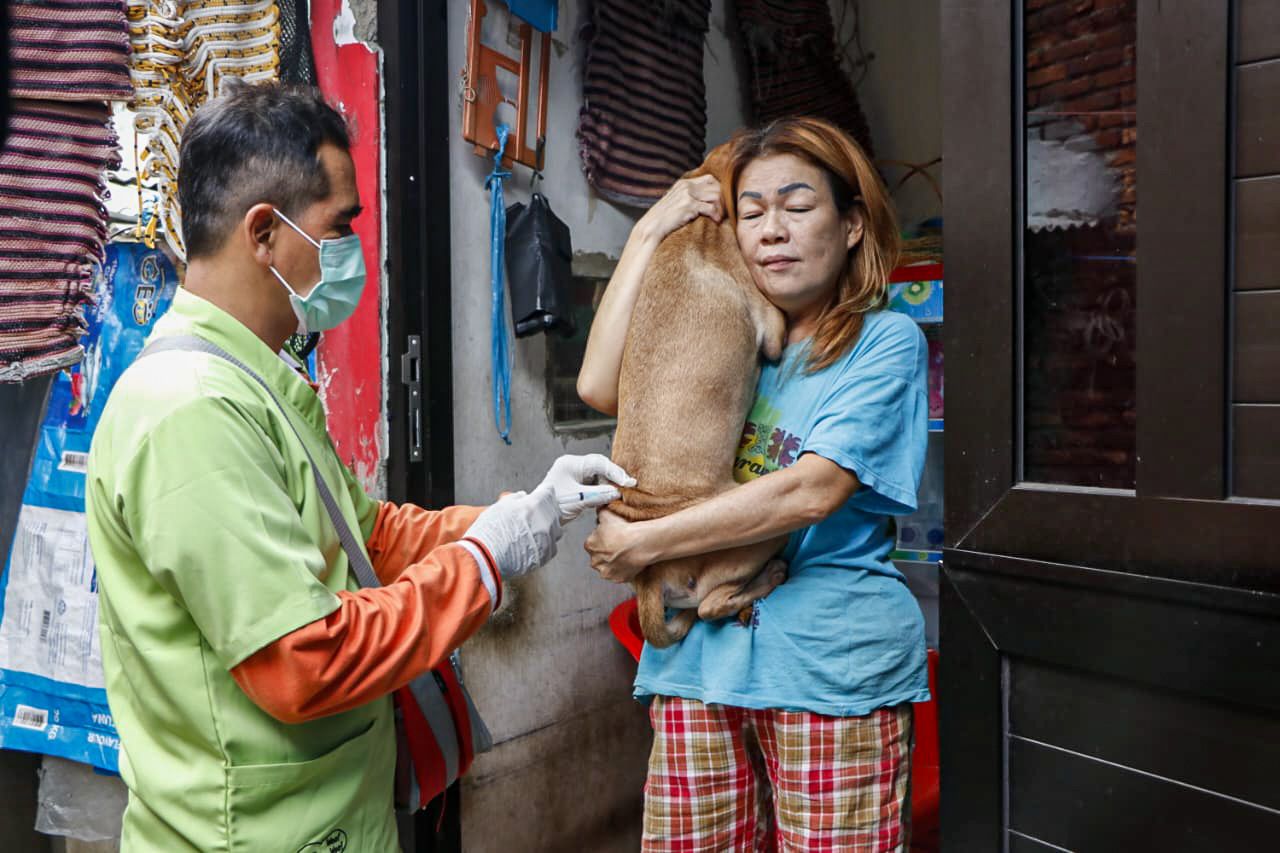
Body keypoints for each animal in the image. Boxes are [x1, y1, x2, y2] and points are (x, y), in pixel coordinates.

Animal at [606, 146, 788, 645]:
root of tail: (648, 576)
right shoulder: (772, 325)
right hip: (759, 531)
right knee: (712, 603)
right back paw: (768, 579)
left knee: (702, 610)